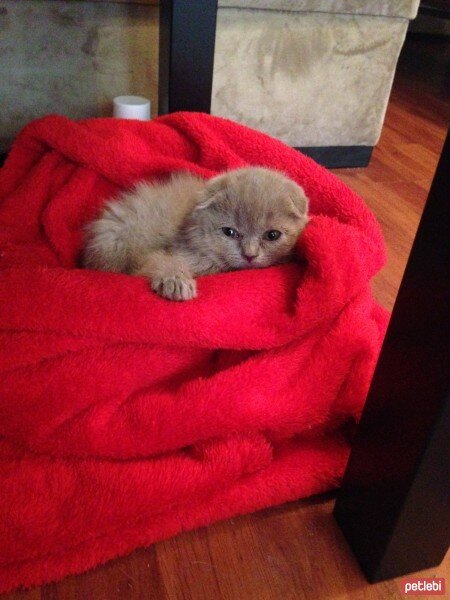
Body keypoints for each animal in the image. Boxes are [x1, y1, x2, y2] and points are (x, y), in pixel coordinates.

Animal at [82, 166, 310, 300]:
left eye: (272, 235)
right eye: (229, 232)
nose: (250, 255)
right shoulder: (163, 253)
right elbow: (161, 261)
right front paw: (176, 282)